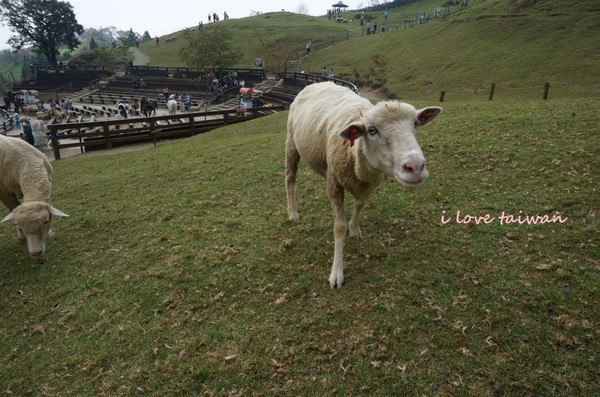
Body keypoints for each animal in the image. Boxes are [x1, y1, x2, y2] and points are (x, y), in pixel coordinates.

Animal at [284, 81, 442, 288]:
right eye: (372, 130)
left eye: (415, 124)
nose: (415, 166)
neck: (356, 154)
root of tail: (318, 82)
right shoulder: (335, 184)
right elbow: (339, 228)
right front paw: (337, 272)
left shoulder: (369, 184)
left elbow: (359, 205)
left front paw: (354, 229)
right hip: (291, 143)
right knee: (290, 178)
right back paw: (292, 213)